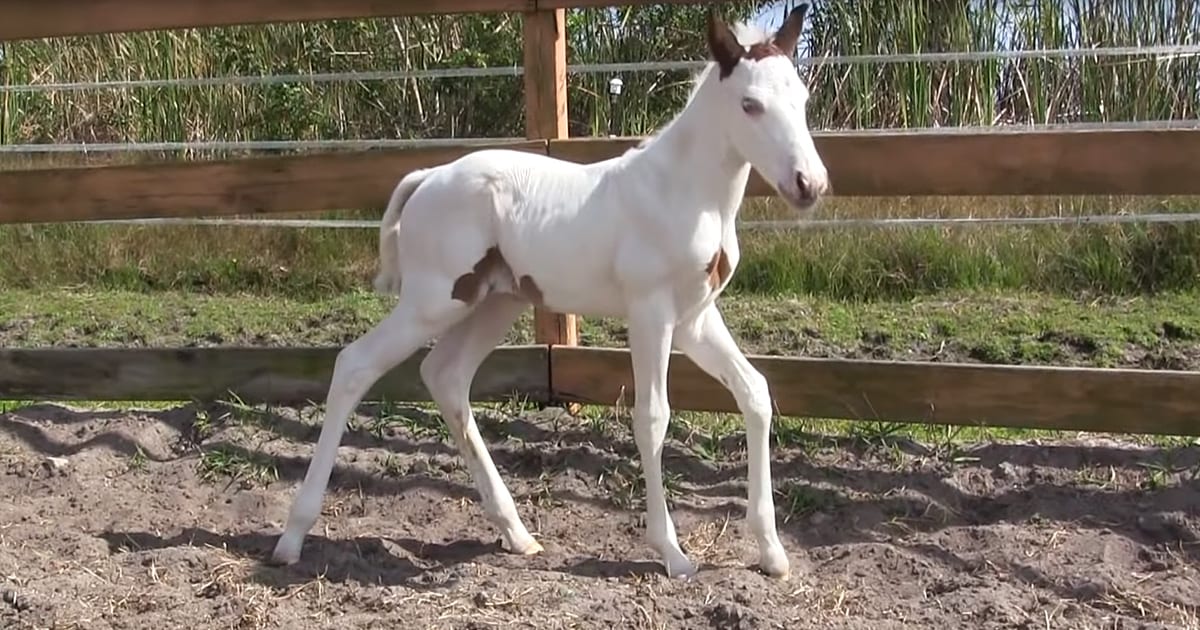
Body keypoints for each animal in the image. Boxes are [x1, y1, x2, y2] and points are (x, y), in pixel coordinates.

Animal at [270, 3, 828, 581]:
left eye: (802, 97)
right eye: (750, 105)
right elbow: (652, 417)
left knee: (445, 376)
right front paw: (673, 554)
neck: (684, 194)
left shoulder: (695, 318)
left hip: (494, 302)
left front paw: (772, 551)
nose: (809, 184)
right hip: (432, 302)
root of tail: (426, 177)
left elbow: (755, 392)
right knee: (355, 365)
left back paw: (516, 533)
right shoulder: (650, 312)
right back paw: (291, 537)